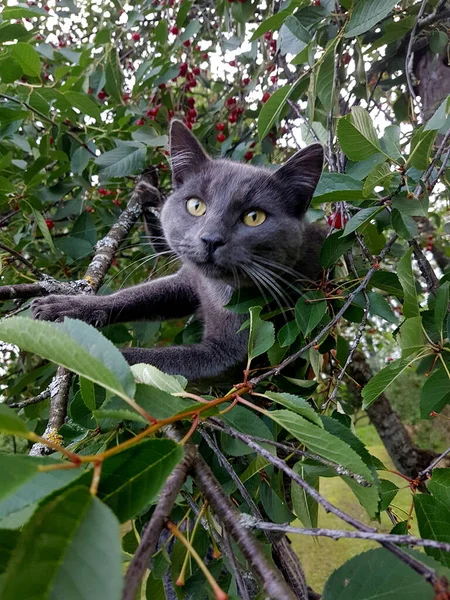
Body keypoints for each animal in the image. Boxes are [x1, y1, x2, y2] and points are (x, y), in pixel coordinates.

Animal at [32, 119, 324, 378]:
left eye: (254, 217)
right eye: (195, 205)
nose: (211, 239)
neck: (215, 292)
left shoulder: (235, 347)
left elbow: (157, 360)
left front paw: (84, 354)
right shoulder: (188, 280)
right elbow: (135, 296)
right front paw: (62, 307)